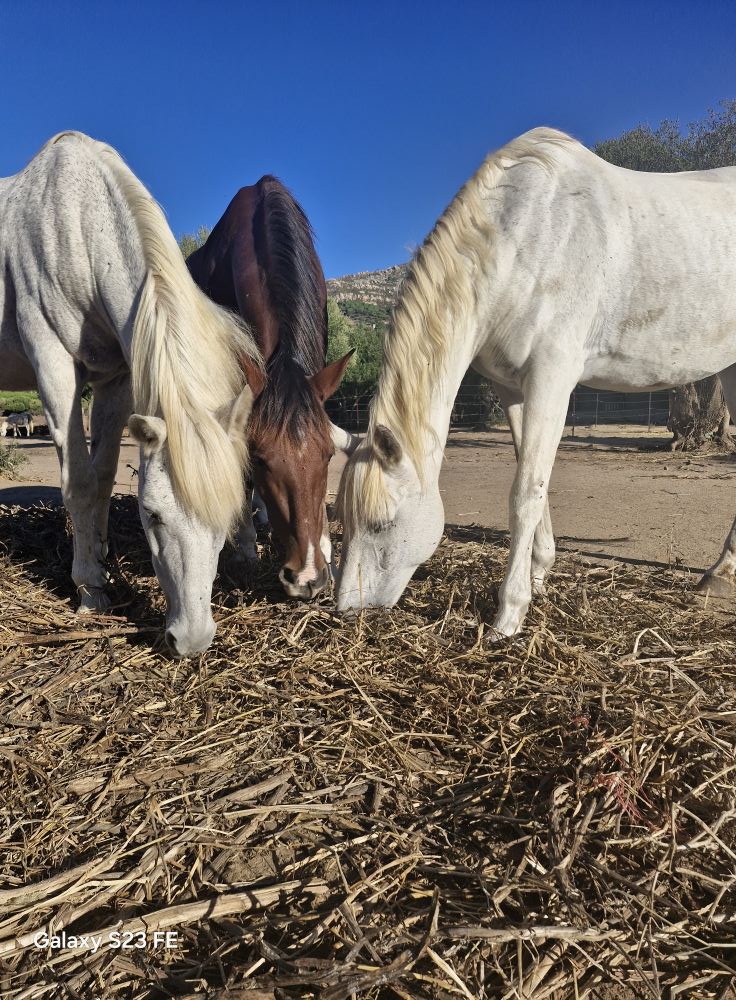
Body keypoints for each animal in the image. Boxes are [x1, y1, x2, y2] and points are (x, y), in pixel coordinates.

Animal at [0, 132, 260, 656]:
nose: (192, 640)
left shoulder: (115, 377)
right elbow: (80, 481)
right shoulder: (53, 365)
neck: (75, 226)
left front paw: (100, 564)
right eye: (153, 515)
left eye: (224, 520)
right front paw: (89, 591)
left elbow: (102, 479)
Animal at [335, 127, 736, 636]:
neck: (523, 239)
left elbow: (525, 493)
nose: (346, 609)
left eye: (382, 524)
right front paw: (541, 573)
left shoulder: (553, 378)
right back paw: (720, 572)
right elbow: (532, 475)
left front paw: (509, 615)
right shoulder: (513, 389)